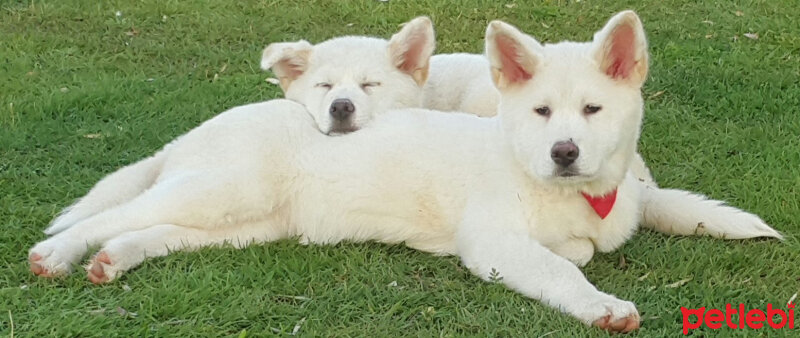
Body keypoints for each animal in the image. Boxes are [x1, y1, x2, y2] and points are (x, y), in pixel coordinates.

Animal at [31, 11, 780, 332]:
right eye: (541, 112)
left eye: (592, 110)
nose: (564, 153)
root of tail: (191, 133)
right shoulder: (493, 244)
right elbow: (563, 269)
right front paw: (602, 306)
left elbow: (586, 248)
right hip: (221, 190)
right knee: (108, 216)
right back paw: (57, 255)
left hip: (240, 223)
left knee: (146, 231)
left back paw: (112, 261)